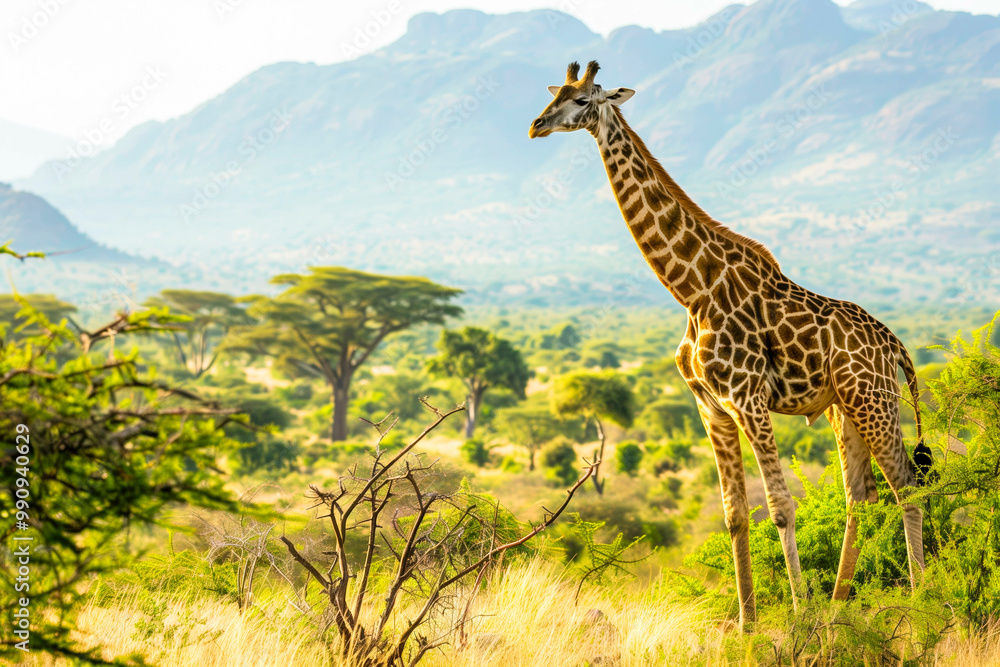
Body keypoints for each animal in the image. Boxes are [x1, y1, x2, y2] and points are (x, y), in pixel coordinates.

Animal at [529, 61, 932, 630]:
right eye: (556, 93)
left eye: (584, 99)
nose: (537, 125)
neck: (692, 289)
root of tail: (896, 345)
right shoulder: (710, 407)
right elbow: (735, 515)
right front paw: (747, 625)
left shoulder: (749, 399)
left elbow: (781, 508)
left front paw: (798, 616)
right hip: (844, 408)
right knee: (863, 496)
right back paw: (838, 608)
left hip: (873, 400)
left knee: (907, 486)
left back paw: (917, 602)